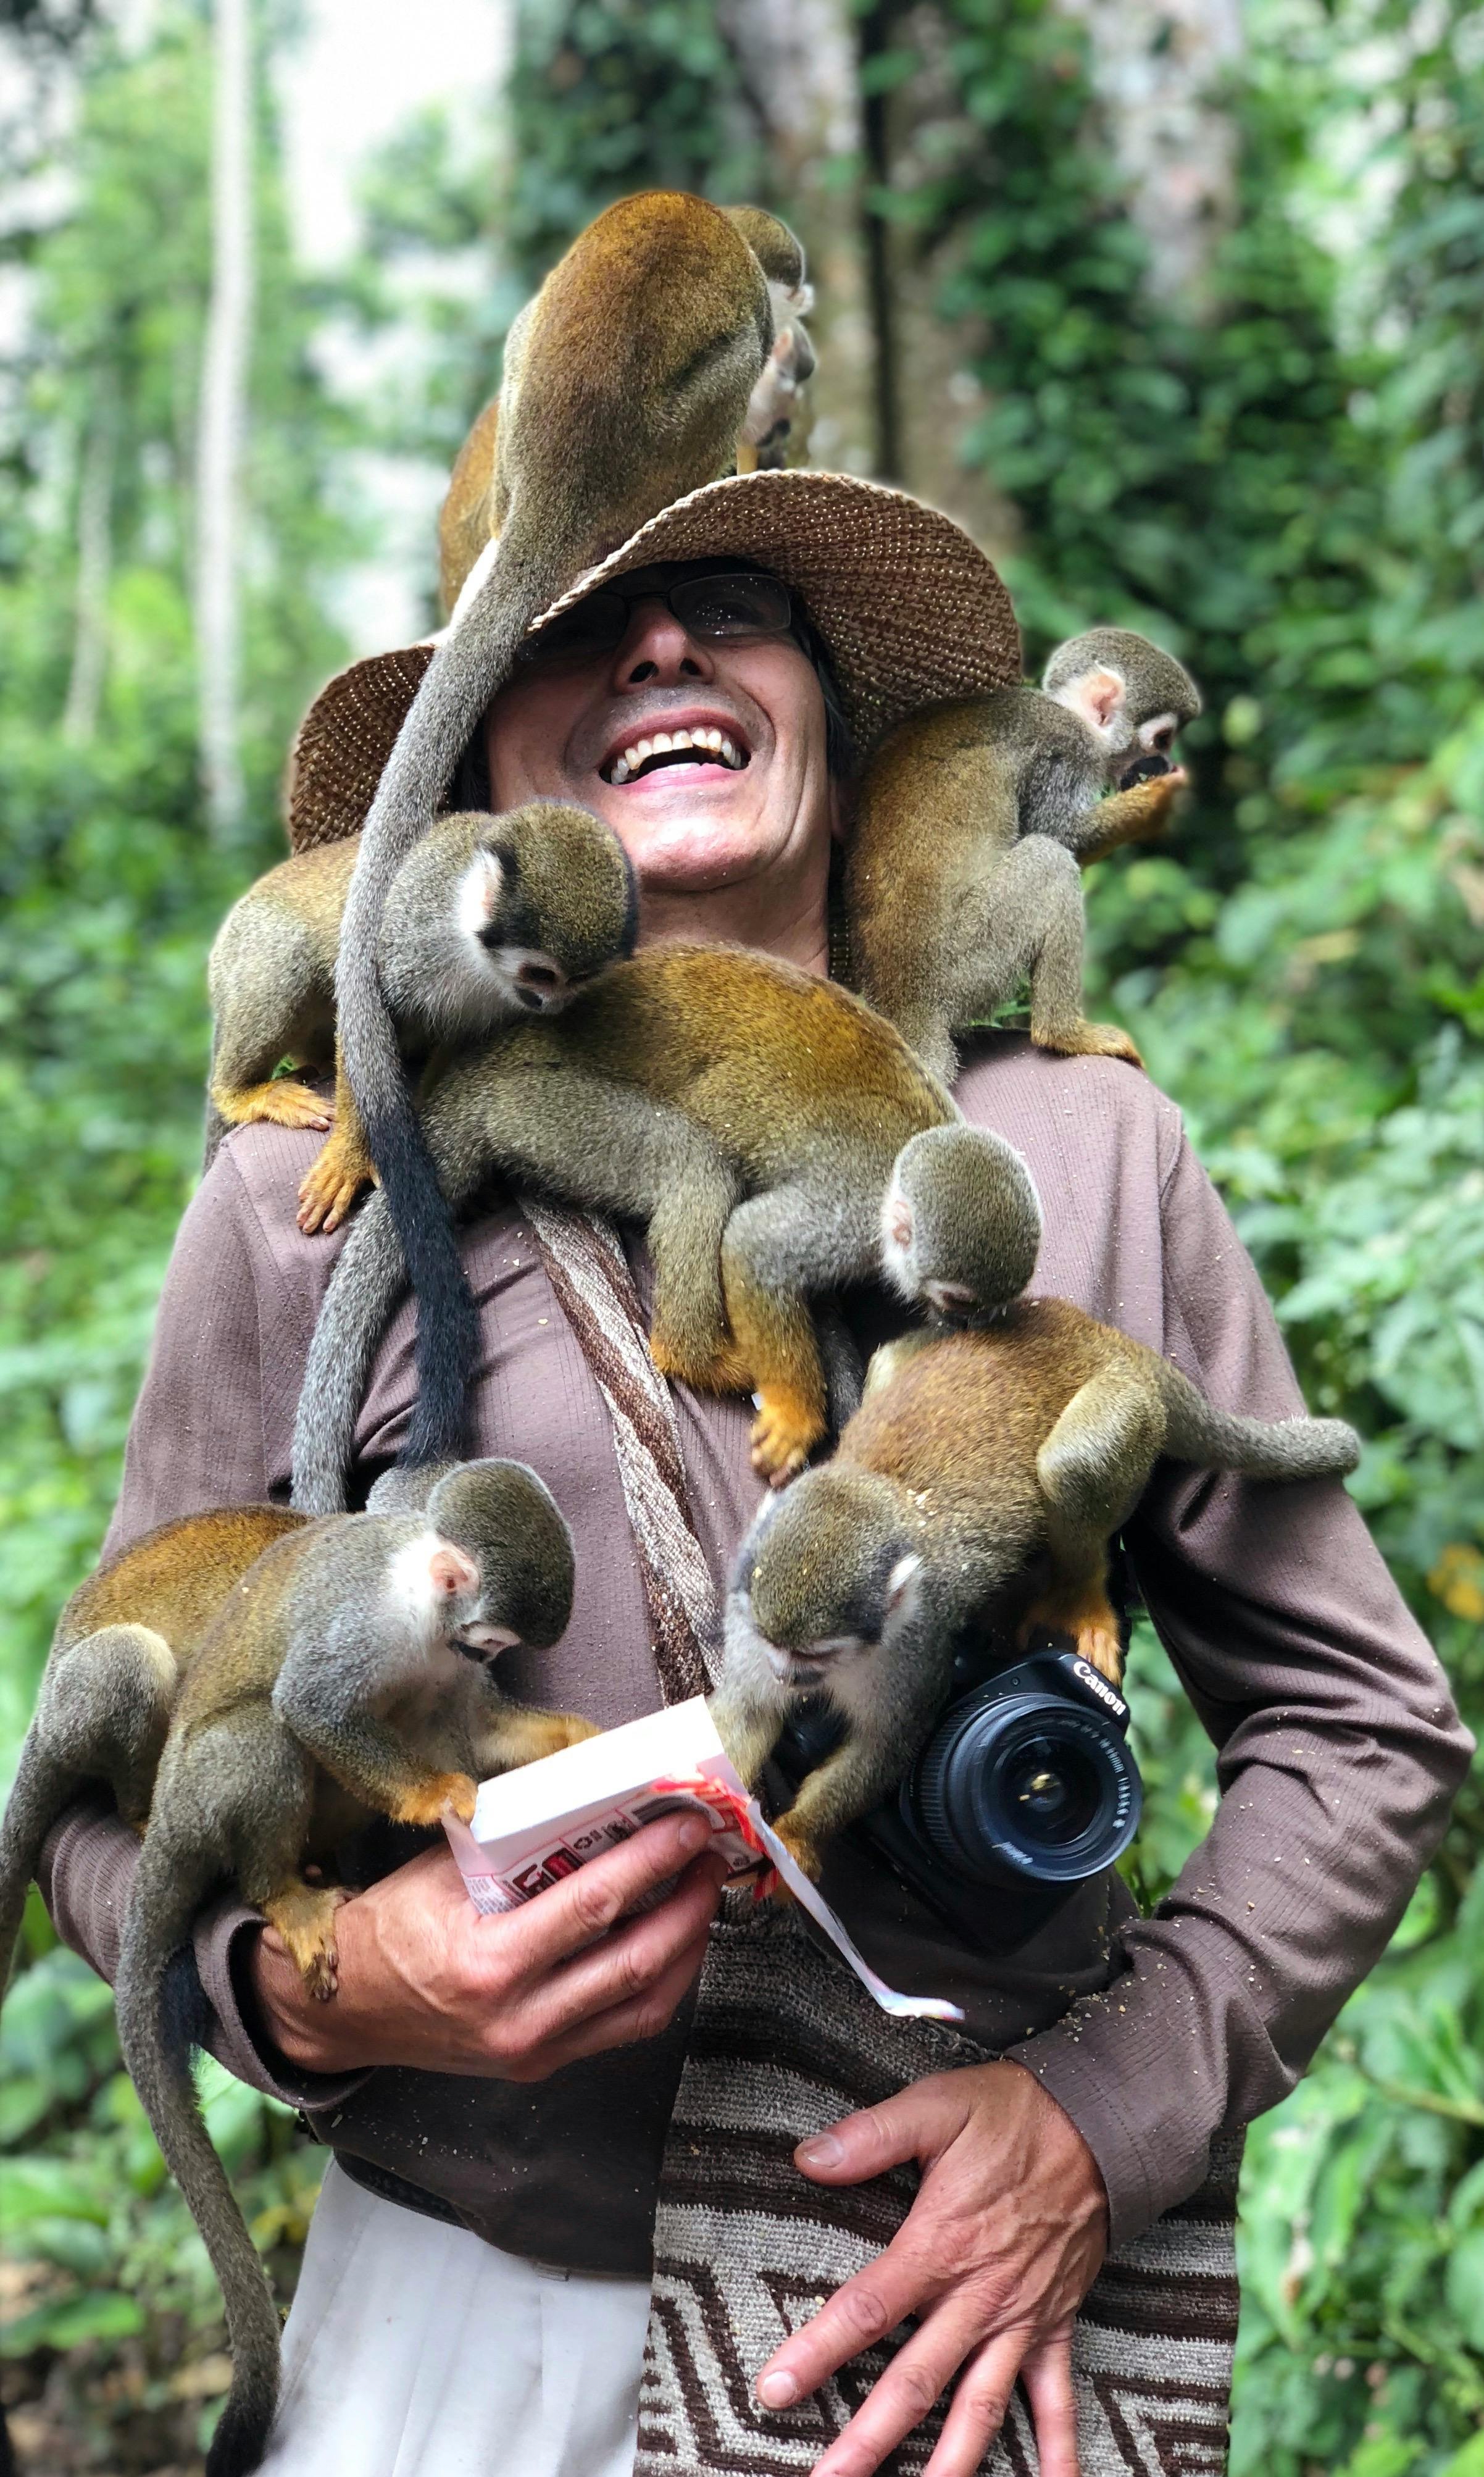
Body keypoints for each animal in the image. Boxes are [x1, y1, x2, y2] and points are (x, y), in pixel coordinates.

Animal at [111, 1447, 592, 2477]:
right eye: (487, 1638)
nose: (481, 1657)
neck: (415, 1587)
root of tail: (166, 1818)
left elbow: (472, 1726)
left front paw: (569, 1741)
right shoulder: (367, 1626)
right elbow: (313, 1704)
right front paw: (433, 1799)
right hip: (203, 1793)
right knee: (267, 1735)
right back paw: (283, 1888)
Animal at [201, 802, 634, 1228]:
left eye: (578, 980)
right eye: (541, 975)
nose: (551, 1005)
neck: (471, 946)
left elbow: (461, 1043)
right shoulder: (408, 925)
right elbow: (366, 1014)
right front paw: (353, 1156)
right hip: (246, 940)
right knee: (289, 957)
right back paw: (238, 1093)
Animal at [713, 1124, 1367, 1873]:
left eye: (817, 1656)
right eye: (774, 1644)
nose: (789, 1677)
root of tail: (1109, 1341)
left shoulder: (916, 1645)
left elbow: (883, 1751)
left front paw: (794, 1841)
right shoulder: (745, 1608)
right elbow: (743, 1715)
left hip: (1123, 1397)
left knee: (1072, 1464)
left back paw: (1079, 1594)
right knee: (891, 1364)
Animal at [842, 624, 1204, 1080]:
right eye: (1163, 739)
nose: (1166, 761)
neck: (1066, 712)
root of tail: (907, 1006)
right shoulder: (1066, 750)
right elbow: (1062, 834)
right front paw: (1157, 803)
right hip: (963, 967)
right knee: (1051, 859)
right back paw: (1062, 1032)